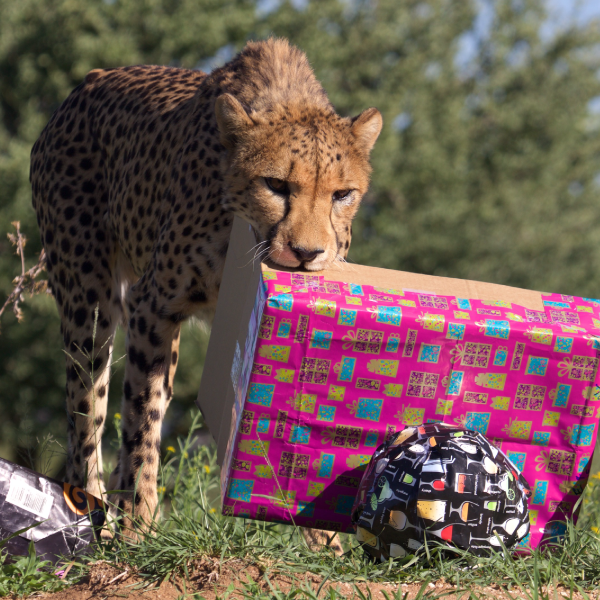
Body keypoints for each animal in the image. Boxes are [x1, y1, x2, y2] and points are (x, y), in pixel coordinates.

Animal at [30, 37, 382, 534]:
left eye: (342, 195)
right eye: (276, 184)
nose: (308, 253)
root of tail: (90, 80)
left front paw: (323, 537)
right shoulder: (153, 304)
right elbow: (141, 419)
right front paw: (139, 526)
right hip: (88, 299)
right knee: (86, 413)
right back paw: (96, 518)